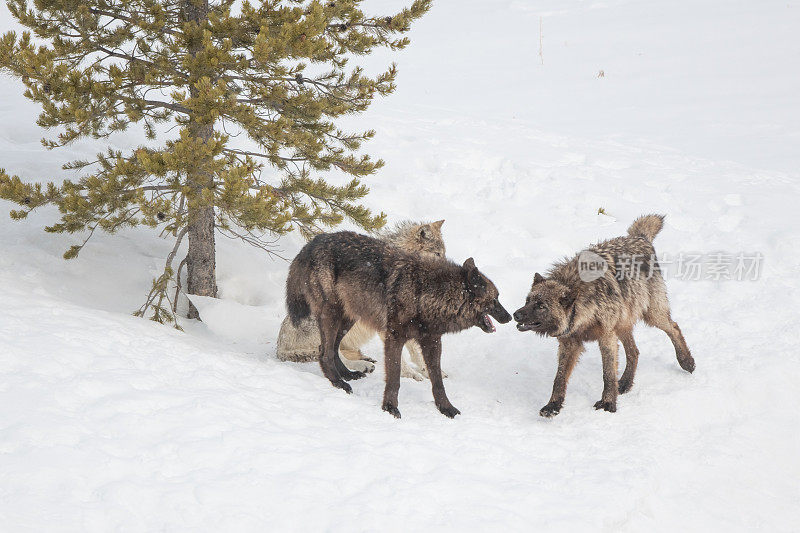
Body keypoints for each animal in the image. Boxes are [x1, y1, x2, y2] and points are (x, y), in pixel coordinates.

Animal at [278, 218, 446, 380]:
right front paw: (410, 374)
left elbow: (417, 353)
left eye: (443, 253)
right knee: (330, 353)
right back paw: (360, 367)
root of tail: (279, 345)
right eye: (437, 254)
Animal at [286, 231, 512, 418]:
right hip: (333, 316)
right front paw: (390, 408)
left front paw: (446, 408)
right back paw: (338, 383)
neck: (425, 293)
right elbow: (395, 378)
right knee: (324, 351)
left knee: (330, 348)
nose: (510, 317)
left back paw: (348, 375)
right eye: (495, 300)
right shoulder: (394, 338)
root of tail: (313, 242)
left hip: (349, 318)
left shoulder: (432, 342)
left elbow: (437, 381)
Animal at [512, 214, 692, 418]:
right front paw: (553, 406)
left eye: (541, 306)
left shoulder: (606, 337)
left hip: (652, 316)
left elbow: (608, 374)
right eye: (528, 300)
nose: (516, 314)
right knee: (634, 351)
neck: (584, 310)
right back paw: (625, 383)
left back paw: (687, 362)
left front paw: (608, 403)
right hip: (622, 326)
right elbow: (559, 378)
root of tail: (640, 238)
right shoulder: (569, 343)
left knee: (674, 327)